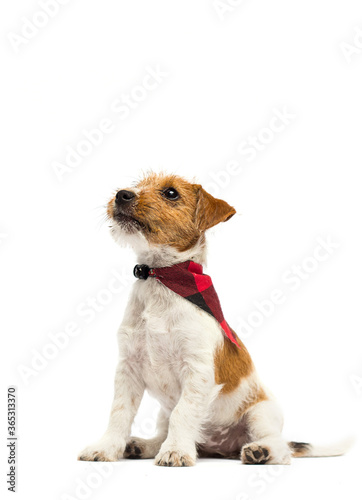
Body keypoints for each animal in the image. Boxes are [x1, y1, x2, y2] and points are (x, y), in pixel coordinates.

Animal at [78, 172, 350, 464]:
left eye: (171, 193)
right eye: (136, 185)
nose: (122, 195)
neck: (162, 279)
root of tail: (220, 448)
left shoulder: (198, 370)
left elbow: (183, 412)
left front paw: (176, 451)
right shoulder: (128, 368)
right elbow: (119, 413)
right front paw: (106, 448)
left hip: (260, 414)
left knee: (281, 448)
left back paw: (260, 451)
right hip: (164, 413)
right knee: (162, 432)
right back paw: (142, 445)